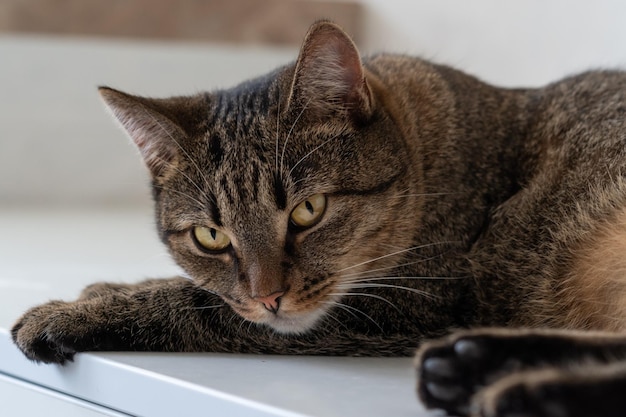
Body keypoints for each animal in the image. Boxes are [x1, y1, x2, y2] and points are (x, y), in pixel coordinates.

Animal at [9, 20, 624, 416]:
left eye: (309, 210)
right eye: (211, 235)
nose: (268, 297)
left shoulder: (412, 304)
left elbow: (200, 305)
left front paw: (72, 312)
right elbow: (203, 288)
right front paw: (106, 286)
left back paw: (523, 390)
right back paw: (472, 364)